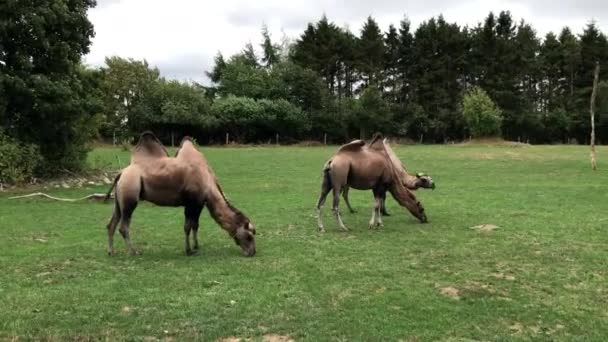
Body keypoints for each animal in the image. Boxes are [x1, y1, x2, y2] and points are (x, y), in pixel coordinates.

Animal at [104, 132, 256, 258]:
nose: (252, 252)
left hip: (119, 199)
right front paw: (188, 251)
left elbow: (195, 225)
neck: (207, 180)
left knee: (111, 224)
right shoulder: (191, 203)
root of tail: (121, 173)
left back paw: (111, 252)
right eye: (249, 236)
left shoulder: (199, 204)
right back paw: (133, 252)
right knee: (123, 227)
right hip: (130, 195)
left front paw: (196, 246)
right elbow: (187, 227)